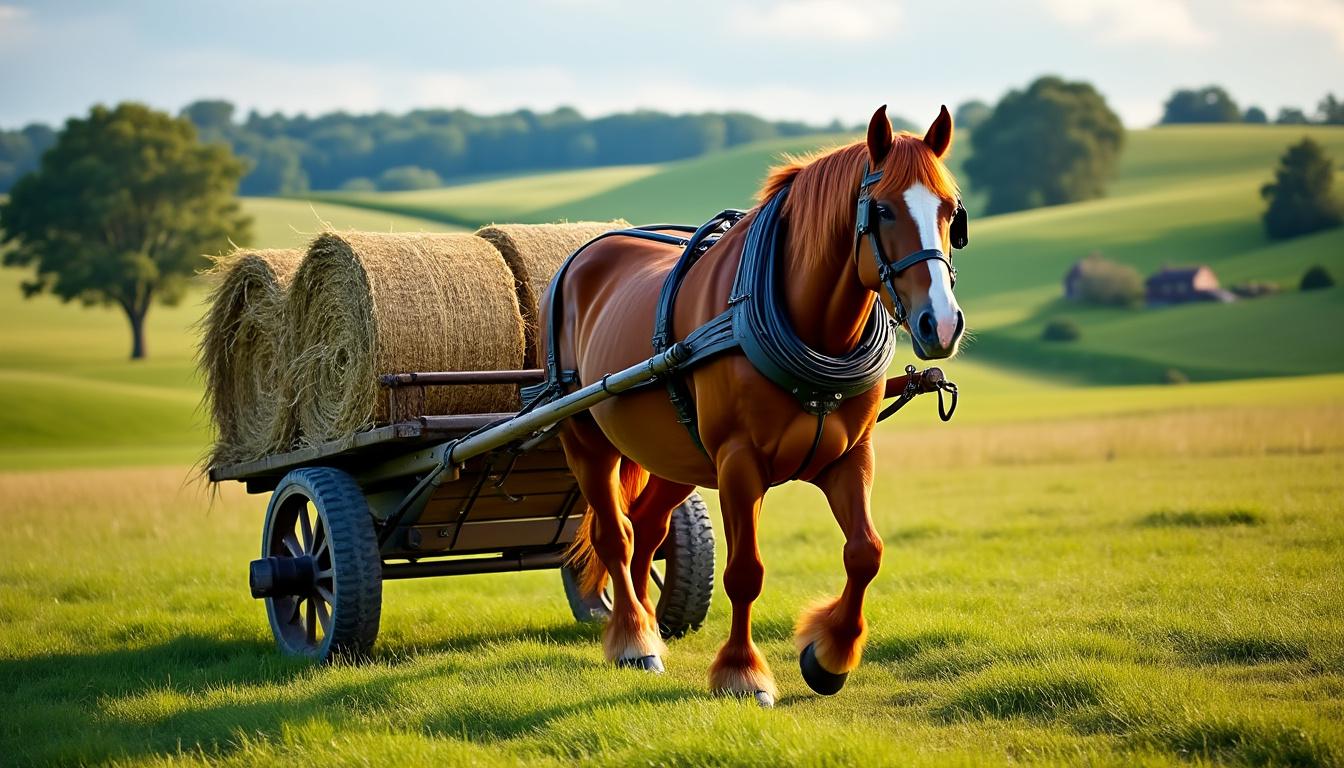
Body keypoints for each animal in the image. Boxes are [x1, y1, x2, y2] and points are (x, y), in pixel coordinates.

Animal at [543, 105, 966, 706]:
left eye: (952, 212)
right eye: (882, 209)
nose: (942, 324)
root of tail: (581, 256)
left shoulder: (849, 457)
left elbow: (866, 552)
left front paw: (828, 656)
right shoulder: (739, 463)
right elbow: (745, 572)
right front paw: (742, 672)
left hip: (677, 455)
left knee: (646, 530)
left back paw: (649, 624)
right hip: (585, 439)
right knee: (615, 537)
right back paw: (633, 639)